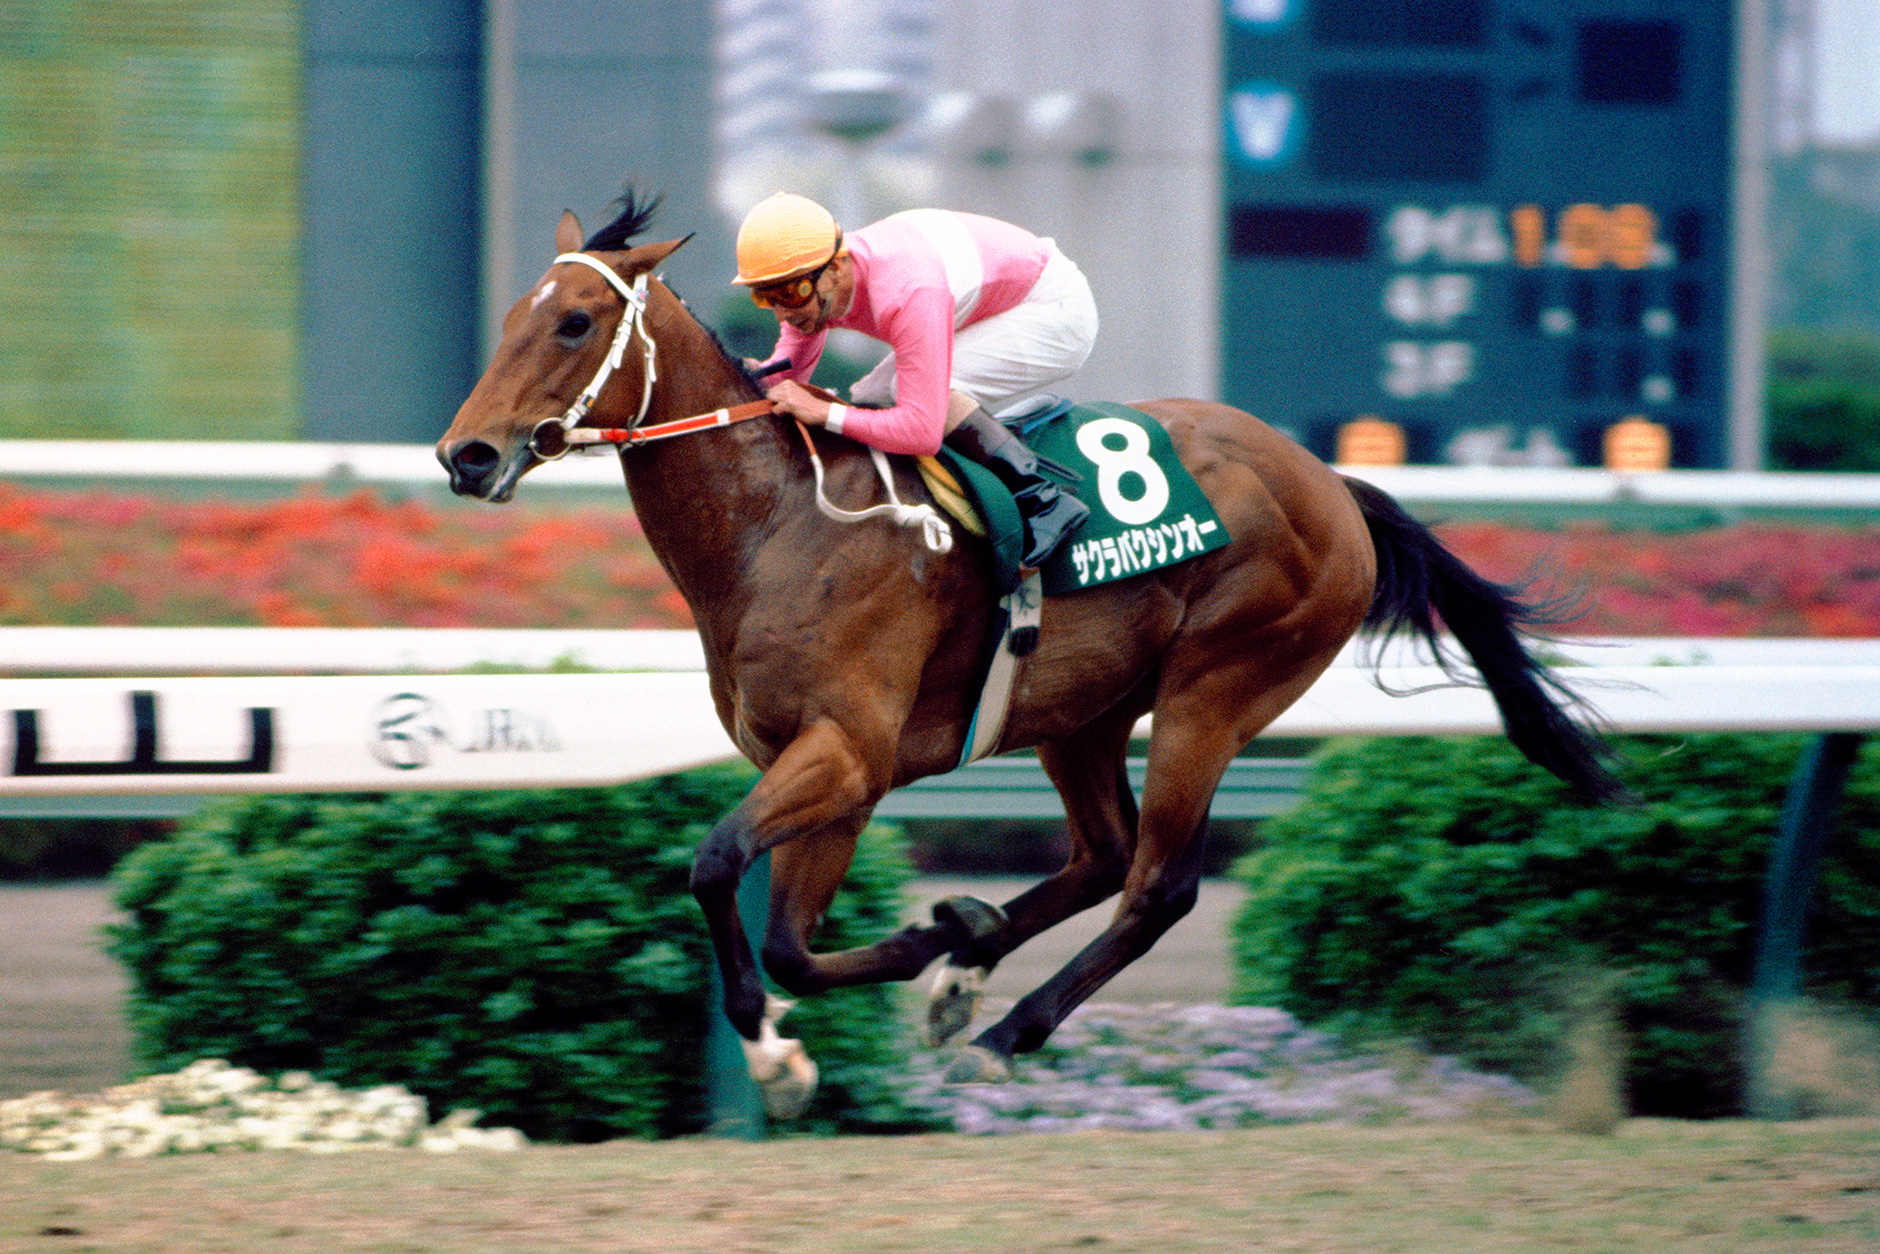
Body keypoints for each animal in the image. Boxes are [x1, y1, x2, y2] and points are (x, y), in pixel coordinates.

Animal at [438, 191, 1624, 1118]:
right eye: (509, 320)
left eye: (576, 322)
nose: (466, 456)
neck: (780, 524)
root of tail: (1331, 482)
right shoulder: (827, 770)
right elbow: (785, 937)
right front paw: (879, 986)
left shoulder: (849, 754)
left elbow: (721, 866)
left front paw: (829, 1015)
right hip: (1084, 709)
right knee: (1103, 852)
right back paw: (974, 963)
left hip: (1216, 689)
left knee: (1157, 883)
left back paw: (1008, 1029)